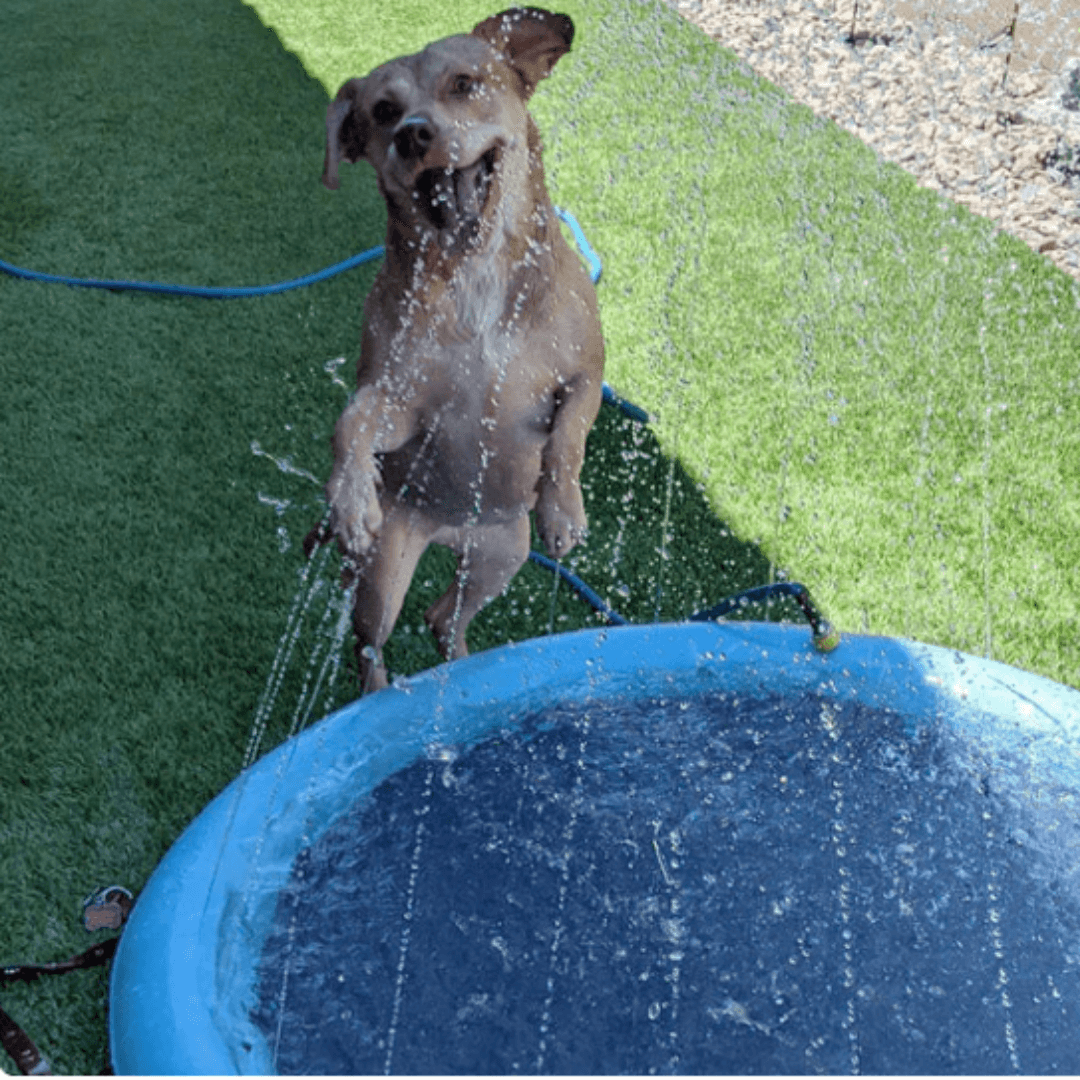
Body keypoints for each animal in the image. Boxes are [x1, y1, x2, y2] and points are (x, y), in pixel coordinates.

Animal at [304, 8, 609, 691]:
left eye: (465, 84)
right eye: (383, 111)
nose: (413, 135)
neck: (473, 275)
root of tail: (450, 532)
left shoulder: (585, 373)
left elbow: (571, 433)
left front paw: (563, 511)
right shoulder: (401, 400)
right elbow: (351, 422)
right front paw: (351, 497)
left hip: (502, 558)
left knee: (444, 617)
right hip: (386, 572)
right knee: (373, 642)